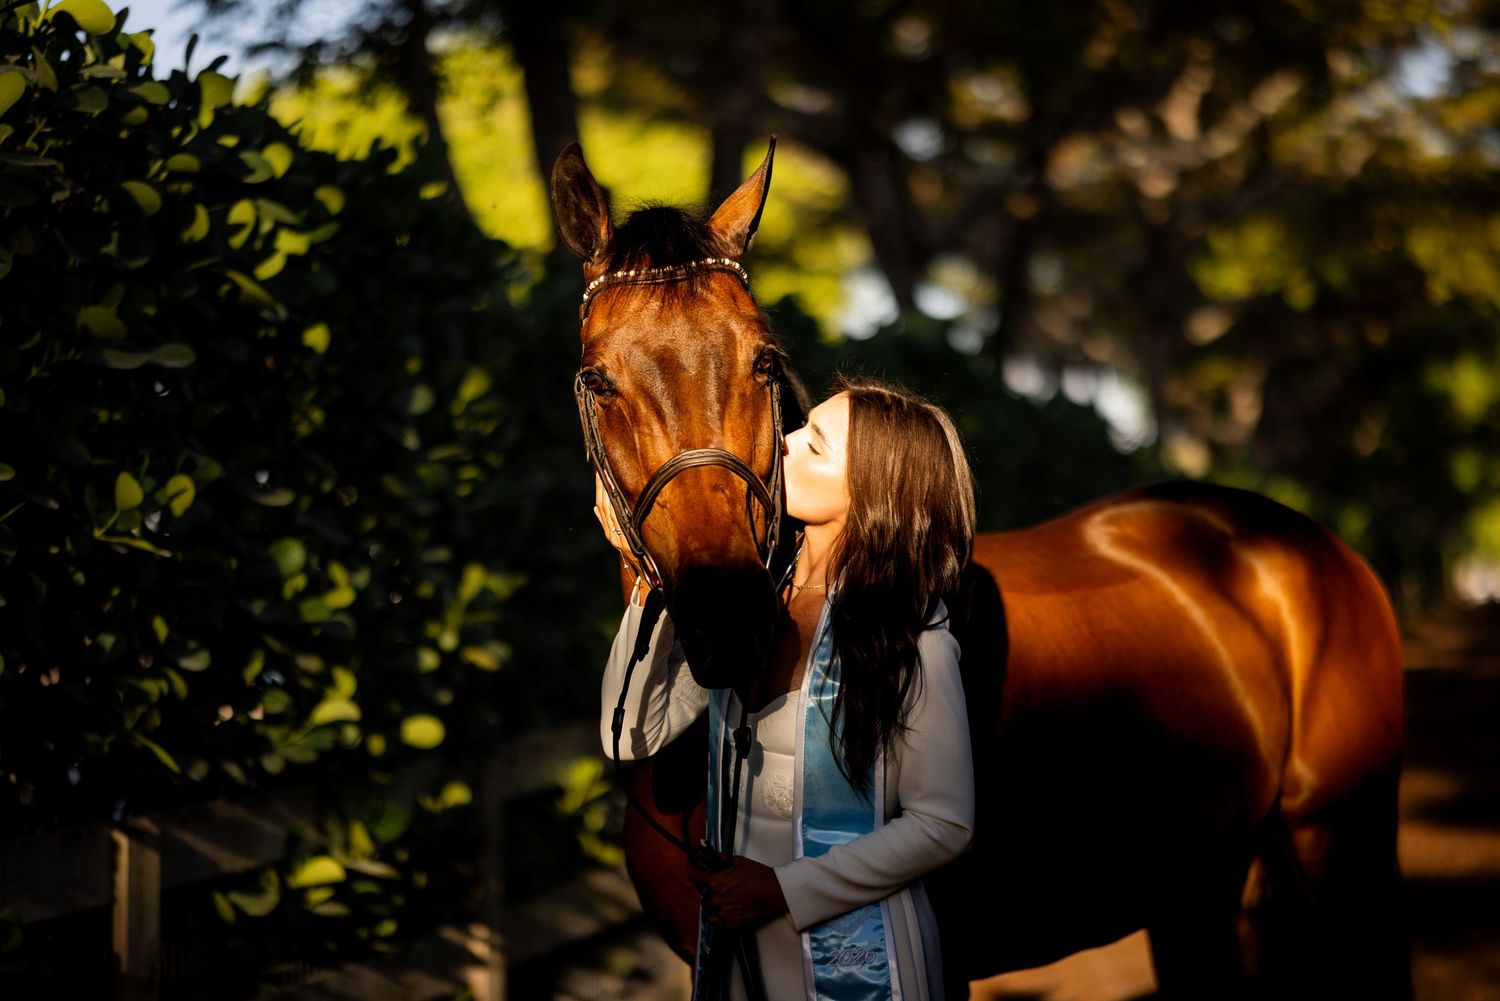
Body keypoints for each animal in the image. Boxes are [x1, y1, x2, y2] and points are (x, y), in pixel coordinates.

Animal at [551, 138, 1412, 999]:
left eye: (764, 361)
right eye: (597, 378)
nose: (730, 618)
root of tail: (1302, 539)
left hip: (1333, 843)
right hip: (1196, 889)